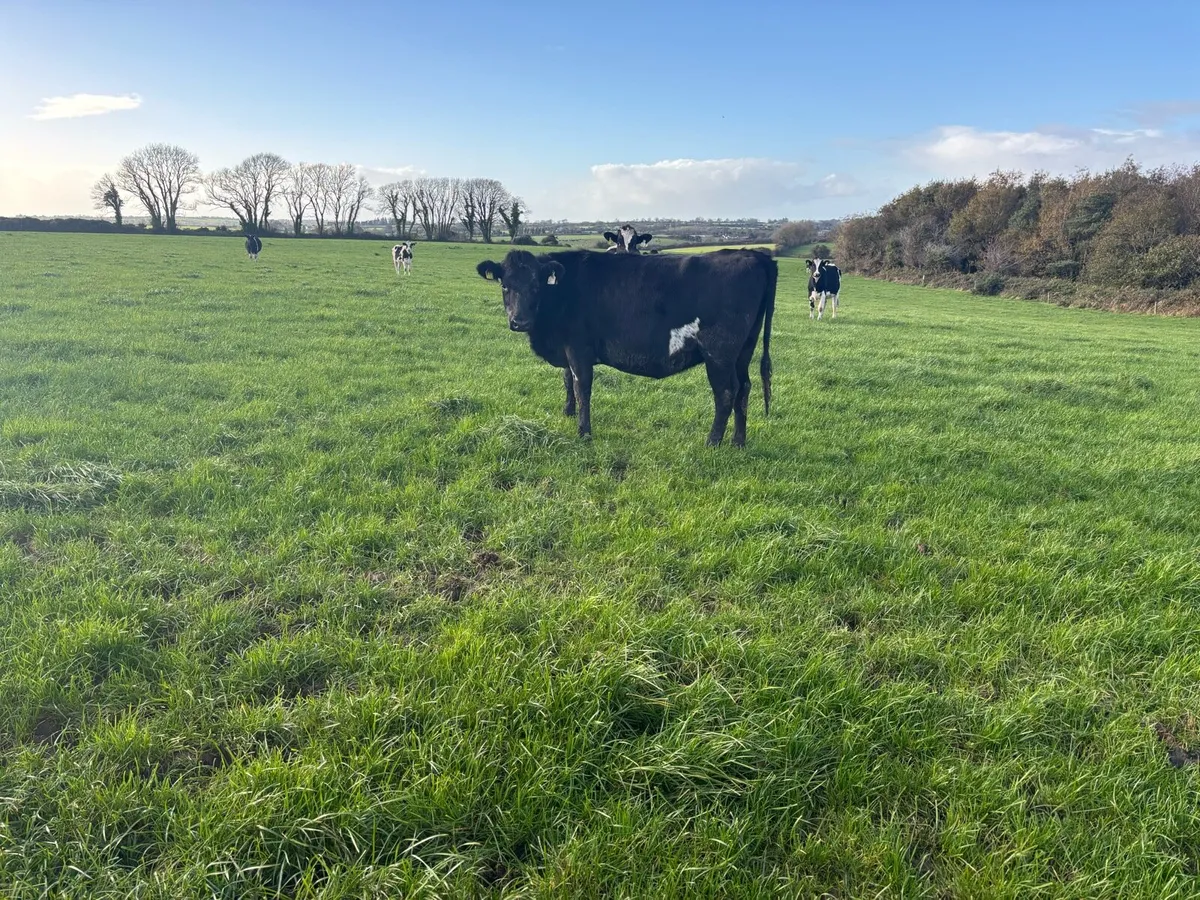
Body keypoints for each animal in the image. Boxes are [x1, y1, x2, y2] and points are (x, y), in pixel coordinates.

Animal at [476, 248, 776, 447]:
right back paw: (738, 442)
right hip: (743, 351)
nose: (519, 321)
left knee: (726, 393)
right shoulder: (567, 349)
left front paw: (584, 432)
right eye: (505, 285)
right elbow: (566, 381)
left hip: (719, 354)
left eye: (536, 285)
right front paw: (567, 413)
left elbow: (581, 387)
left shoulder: (579, 349)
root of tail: (752, 254)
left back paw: (712, 442)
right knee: (744, 388)